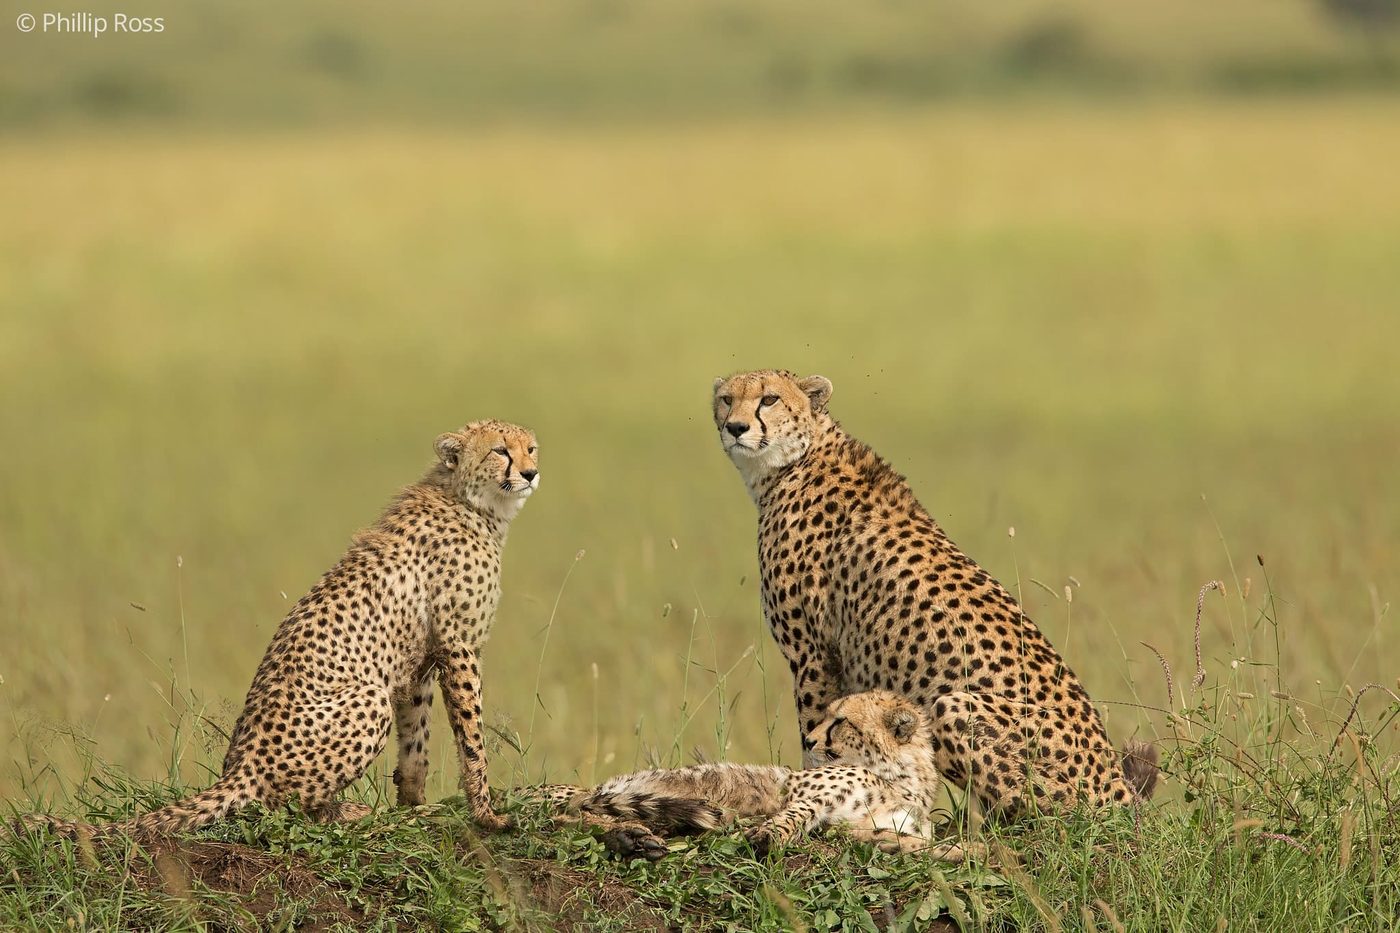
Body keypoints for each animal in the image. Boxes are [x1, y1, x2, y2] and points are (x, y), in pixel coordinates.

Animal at [17, 419, 538, 839]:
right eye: (500, 450)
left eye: (531, 447)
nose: (531, 473)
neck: (473, 503)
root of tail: (240, 765)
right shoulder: (459, 646)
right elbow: (471, 737)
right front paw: (486, 814)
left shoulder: (419, 664)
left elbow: (416, 744)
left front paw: (413, 807)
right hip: (366, 700)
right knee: (285, 806)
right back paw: (349, 813)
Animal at [531, 691, 968, 860]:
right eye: (828, 716)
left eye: (841, 721)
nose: (810, 740)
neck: (902, 779)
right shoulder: (805, 795)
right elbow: (797, 814)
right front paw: (768, 835)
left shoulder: (858, 828)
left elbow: (911, 842)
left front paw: (964, 852)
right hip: (594, 795)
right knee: (571, 816)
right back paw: (630, 837)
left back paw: (634, 837)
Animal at [711, 369, 1158, 819]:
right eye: (726, 399)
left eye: (769, 399)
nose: (736, 427)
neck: (795, 461)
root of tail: (1120, 790)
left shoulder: (814, 654)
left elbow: (816, 732)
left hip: (953, 706)